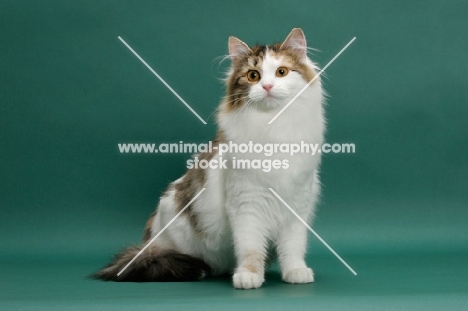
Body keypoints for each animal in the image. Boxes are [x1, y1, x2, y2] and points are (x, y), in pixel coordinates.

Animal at [93, 28, 324, 290]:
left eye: (281, 72)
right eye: (253, 76)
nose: (266, 86)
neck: (273, 127)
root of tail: (148, 243)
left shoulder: (297, 205)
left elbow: (293, 247)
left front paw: (295, 271)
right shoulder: (247, 204)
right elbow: (251, 248)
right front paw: (249, 276)